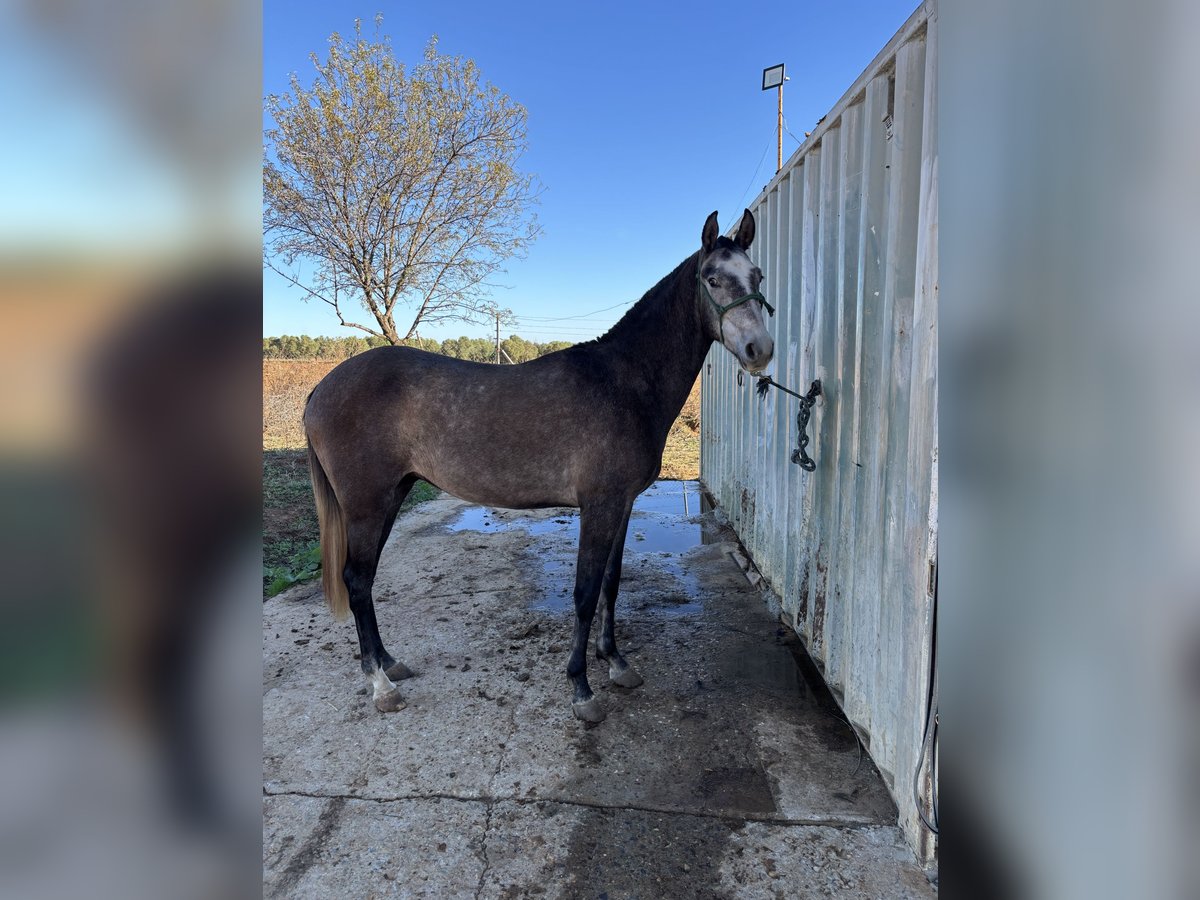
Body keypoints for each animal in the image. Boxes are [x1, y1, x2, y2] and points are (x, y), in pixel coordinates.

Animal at [304, 209, 775, 723]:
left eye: (758, 276)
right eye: (712, 278)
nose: (761, 350)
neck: (623, 381)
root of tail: (321, 388)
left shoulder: (623, 505)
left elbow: (611, 584)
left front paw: (616, 662)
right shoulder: (599, 506)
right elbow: (585, 593)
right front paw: (582, 689)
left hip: (393, 495)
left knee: (365, 581)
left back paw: (390, 663)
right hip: (366, 505)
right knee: (356, 580)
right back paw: (381, 685)